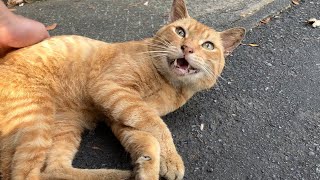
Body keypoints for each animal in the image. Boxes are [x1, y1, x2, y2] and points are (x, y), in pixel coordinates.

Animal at [0, 0, 245, 179]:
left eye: (208, 45)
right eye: (180, 31)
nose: (187, 48)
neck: (167, 83)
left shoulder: (122, 116)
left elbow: (148, 140)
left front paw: (147, 166)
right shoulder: (111, 89)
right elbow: (159, 129)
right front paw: (171, 160)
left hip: (65, 127)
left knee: (54, 169)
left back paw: (117, 175)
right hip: (37, 120)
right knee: (24, 175)